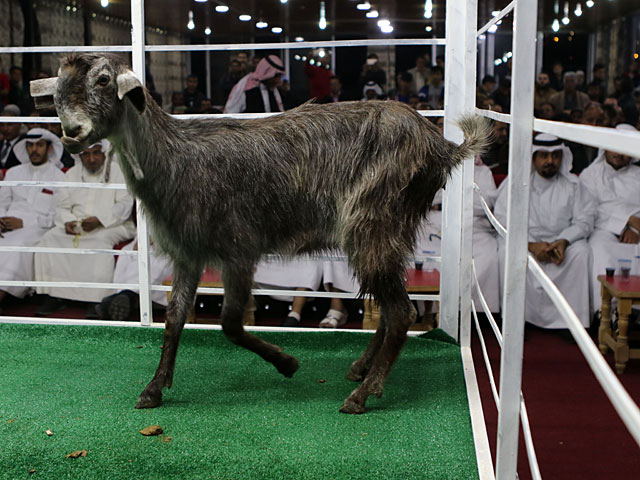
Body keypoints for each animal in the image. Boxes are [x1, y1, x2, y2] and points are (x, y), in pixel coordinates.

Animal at [30, 51, 490, 412]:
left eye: (103, 80)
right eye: (59, 86)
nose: (71, 133)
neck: (175, 158)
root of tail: (442, 147)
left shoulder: (239, 249)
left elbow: (230, 324)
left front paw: (287, 363)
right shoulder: (188, 253)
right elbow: (175, 319)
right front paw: (154, 388)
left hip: (372, 220)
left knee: (401, 311)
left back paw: (362, 395)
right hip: (387, 229)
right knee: (395, 303)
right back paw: (360, 370)